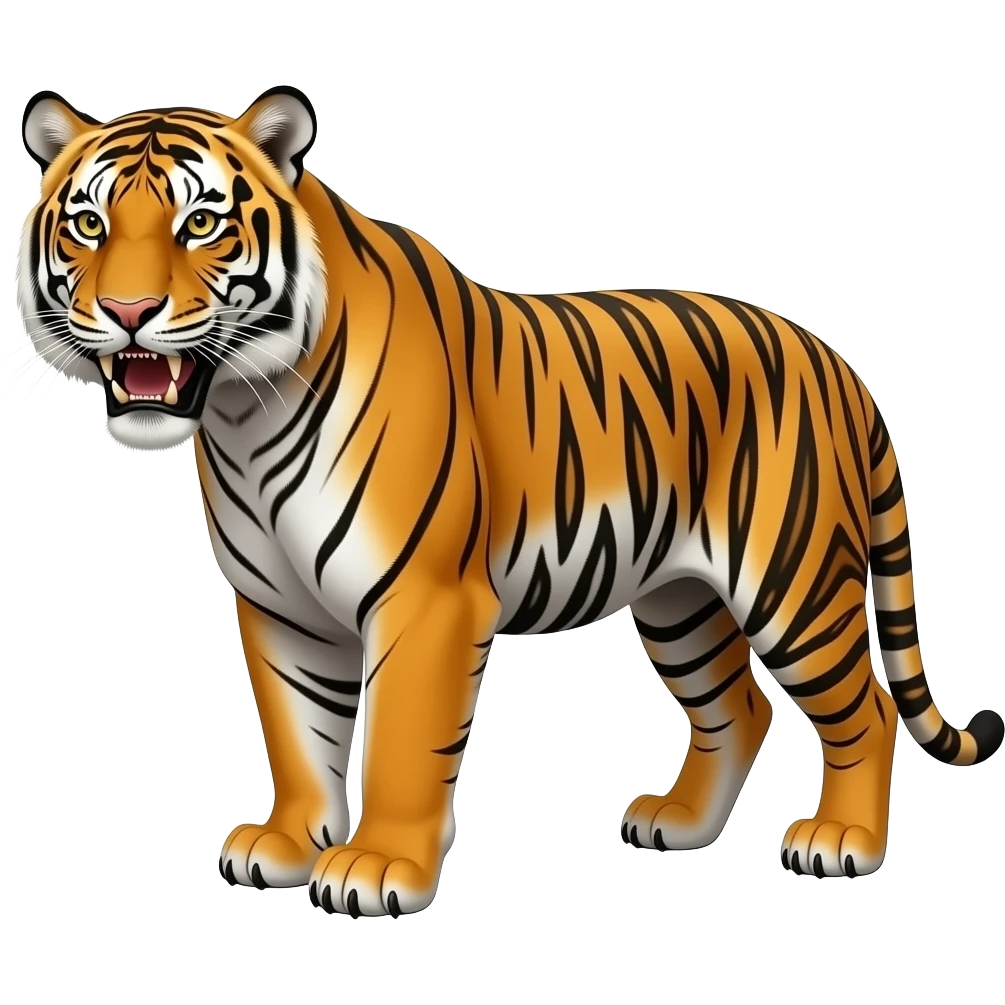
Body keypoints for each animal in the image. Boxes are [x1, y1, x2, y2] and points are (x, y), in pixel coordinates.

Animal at [14, 84, 1001, 916]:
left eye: (201, 222)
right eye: (89, 223)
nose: (129, 311)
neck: (242, 415)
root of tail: (835, 359)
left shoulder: (425, 598)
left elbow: (403, 739)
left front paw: (377, 867)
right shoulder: (278, 606)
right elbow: (299, 732)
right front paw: (288, 843)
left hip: (791, 581)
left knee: (865, 707)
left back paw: (842, 841)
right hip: (678, 599)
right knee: (739, 708)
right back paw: (678, 824)